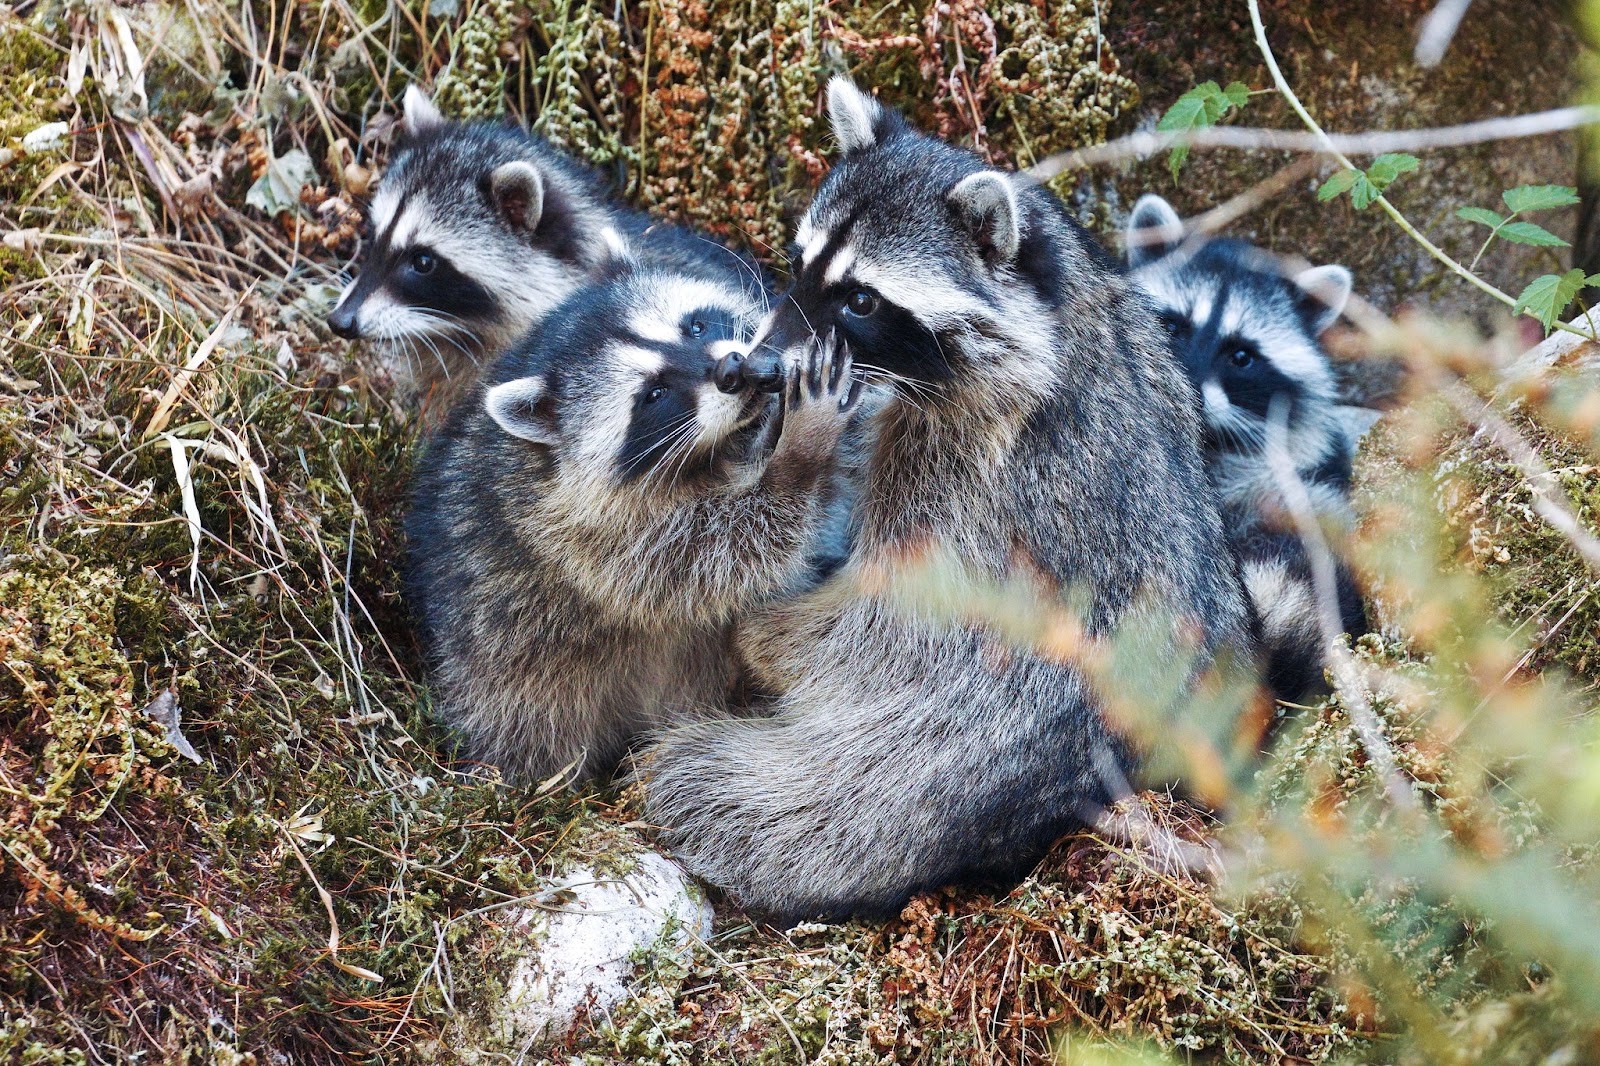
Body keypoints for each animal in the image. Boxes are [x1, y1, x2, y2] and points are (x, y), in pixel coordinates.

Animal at [409, 259, 864, 781]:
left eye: (696, 326)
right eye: (654, 394)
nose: (735, 370)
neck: (714, 452)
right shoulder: (579, 537)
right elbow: (718, 555)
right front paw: (798, 453)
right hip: (506, 683)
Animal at [640, 78, 1260, 915]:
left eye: (862, 300)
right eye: (800, 263)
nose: (760, 364)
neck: (1059, 314)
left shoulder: (962, 466)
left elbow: (890, 612)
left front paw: (767, 632)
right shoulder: (1147, 344)